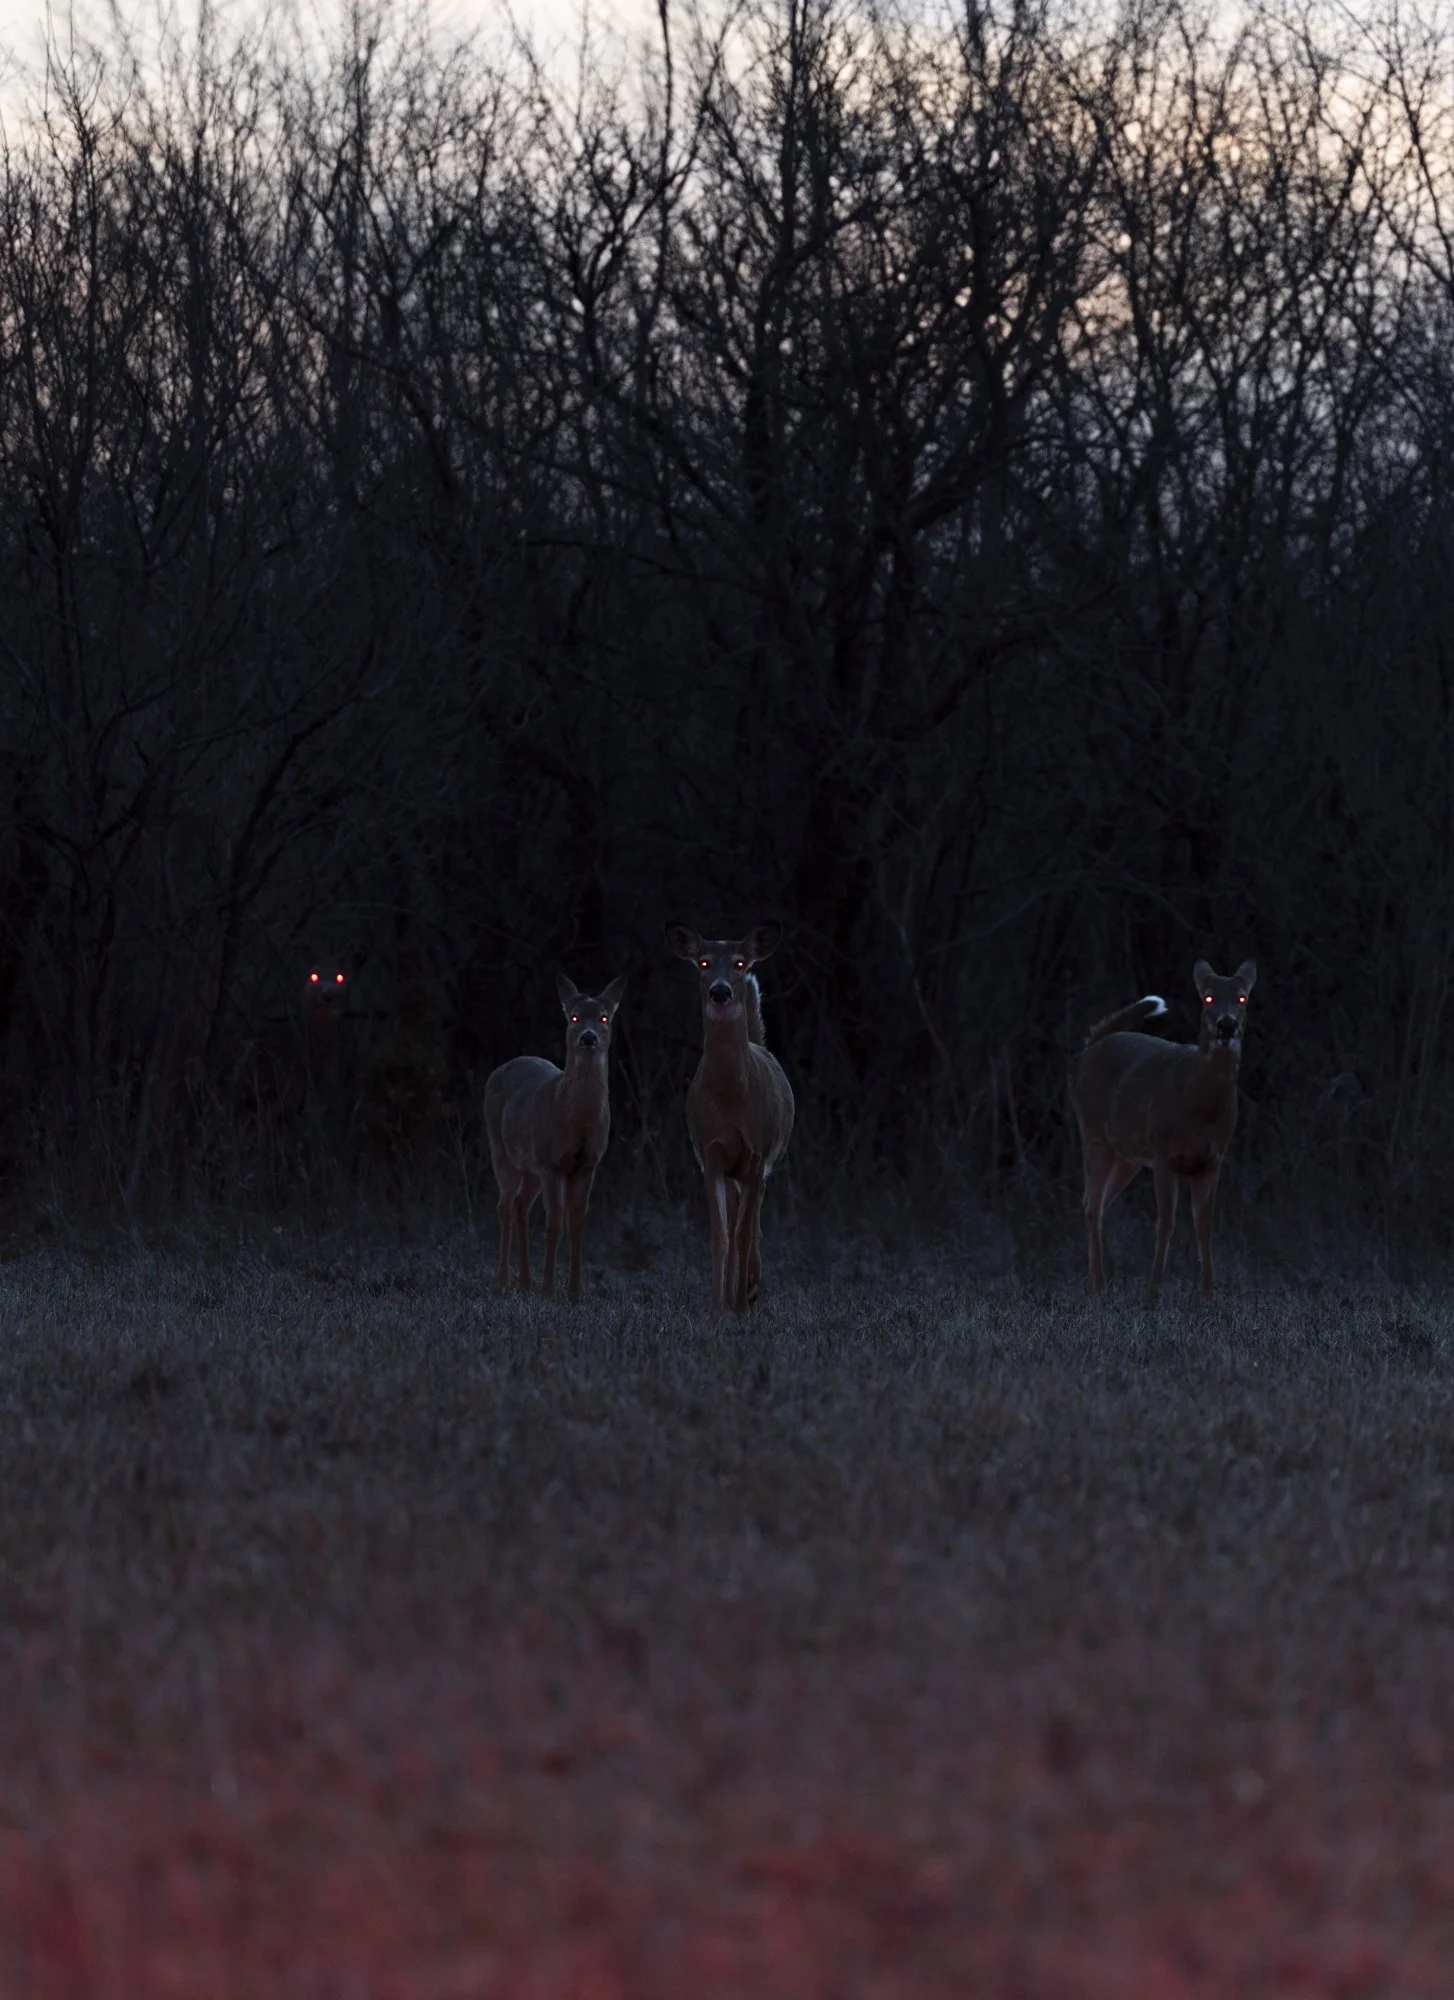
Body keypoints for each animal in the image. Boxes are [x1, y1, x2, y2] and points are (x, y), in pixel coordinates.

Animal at [484, 973, 627, 1301]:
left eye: (604, 1017)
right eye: (574, 1016)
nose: (588, 1037)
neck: (576, 1123)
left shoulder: (587, 1165)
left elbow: (576, 1223)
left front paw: (575, 1291)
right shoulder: (551, 1162)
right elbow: (554, 1223)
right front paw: (549, 1289)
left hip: (531, 1168)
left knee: (521, 1205)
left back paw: (525, 1281)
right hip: (501, 1150)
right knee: (504, 1206)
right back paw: (504, 1281)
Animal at [665, 921, 795, 1317]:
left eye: (739, 962)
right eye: (704, 962)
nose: (720, 991)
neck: (731, 1101)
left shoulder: (757, 1153)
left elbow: (742, 1234)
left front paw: (739, 1304)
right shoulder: (710, 1154)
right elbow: (721, 1236)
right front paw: (716, 1308)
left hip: (765, 1165)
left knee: (754, 1226)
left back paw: (751, 1289)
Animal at [1068, 959, 1257, 1300]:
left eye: (1241, 997)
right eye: (1208, 997)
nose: (1226, 1025)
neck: (1199, 1106)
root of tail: (1090, 1045)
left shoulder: (1213, 1160)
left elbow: (1204, 1226)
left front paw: (1208, 1295)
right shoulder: (1163, 1153)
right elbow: (1165, 1223)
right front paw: (1153, 1293)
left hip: (1127, 1154)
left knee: (1100, 1203)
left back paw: (1098, 1284)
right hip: (1092, 1131)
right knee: (1091, 1202)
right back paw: (1098, 1287)